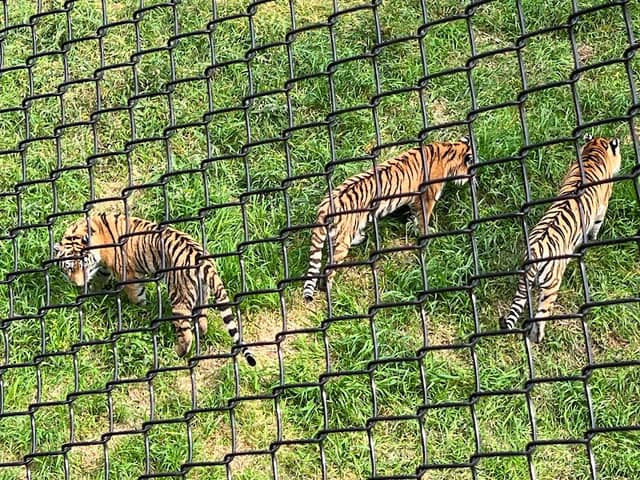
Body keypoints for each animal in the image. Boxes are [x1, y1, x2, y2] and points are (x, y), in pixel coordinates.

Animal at [54, 213, 256, 365]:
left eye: (82, 266)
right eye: (69, 268)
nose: (77, 284)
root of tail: (203, 260)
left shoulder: (128, 275)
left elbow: (136, 295)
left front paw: (140, 309)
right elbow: (99, 280)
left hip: (179, 296)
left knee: (186, 333)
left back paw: (178, 352)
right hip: (202, 293)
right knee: (202, 320)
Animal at [303, 137, 474, 301]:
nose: (474, 178)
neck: (449, 150)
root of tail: (324, 208)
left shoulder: (415, 200)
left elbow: (414, 216)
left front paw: (412, 226)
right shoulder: (427, 198)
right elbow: (423, 219)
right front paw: (426, 234)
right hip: (341, 244)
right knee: (329, 270)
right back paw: (330, 289)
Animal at [499, 134, 621, 343]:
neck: (594, 151)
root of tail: (536, 251)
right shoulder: (602, 206)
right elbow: (596, 227)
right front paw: (593, 239)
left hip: (525, 280)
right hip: (551, 286)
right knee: (541, 315)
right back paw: (538, 337)